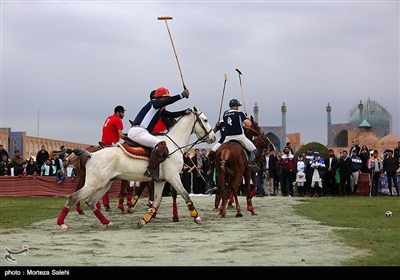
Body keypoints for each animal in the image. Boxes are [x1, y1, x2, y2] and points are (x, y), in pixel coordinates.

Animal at [56, 107, 216, 230]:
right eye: (206, 120)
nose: (213, 137)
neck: (174, 144)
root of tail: (91, 155)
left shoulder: (160, 181)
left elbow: (157, 201)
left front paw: (144, 220)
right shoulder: (173, 177)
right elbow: (185, 194)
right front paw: (196, 217)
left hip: (105, 183)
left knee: (91, 201)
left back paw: (107, 222)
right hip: (94, 183)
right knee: (73, 197)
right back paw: (61, 224)